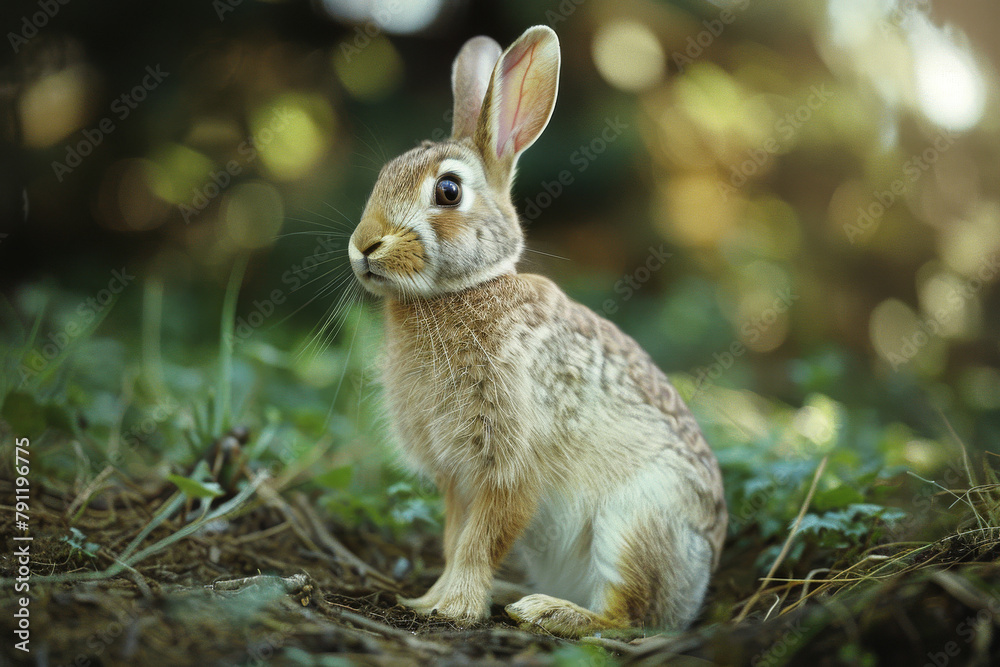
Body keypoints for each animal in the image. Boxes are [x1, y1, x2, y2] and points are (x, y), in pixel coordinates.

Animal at [346, 25, 727, 637]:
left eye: (448, 191)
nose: (363, 246)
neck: (462, 292)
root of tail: (693, 593)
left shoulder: (512, 463)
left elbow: (483, 538)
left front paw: (454, 609)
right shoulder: (458, 479)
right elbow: (456, 538)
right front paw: (429, 600)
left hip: (635, 521)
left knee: (625, 616)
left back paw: (547, 611)